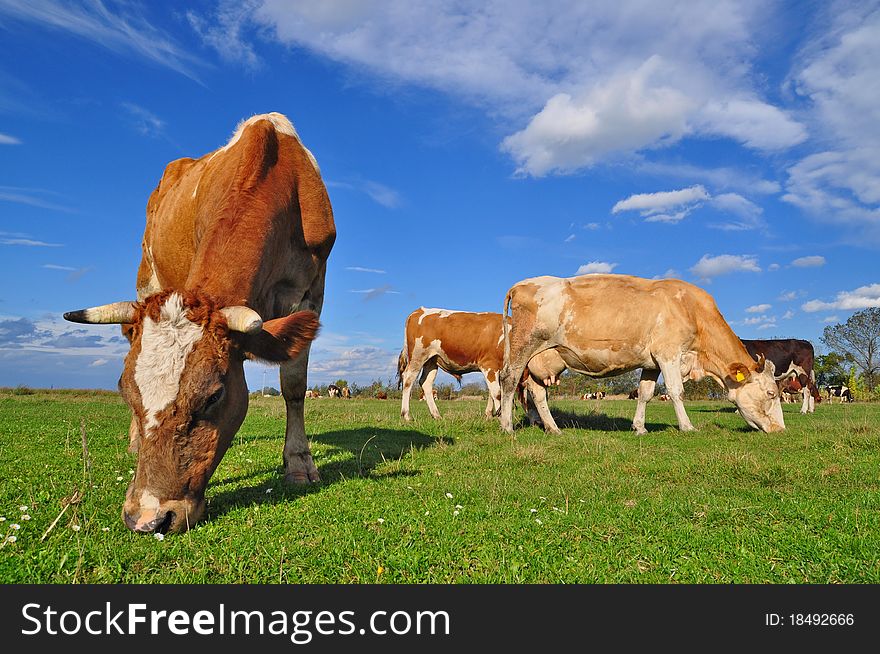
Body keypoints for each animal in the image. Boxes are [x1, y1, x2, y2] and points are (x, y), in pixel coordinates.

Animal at [62, 111, 336, 532]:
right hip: (147, 276)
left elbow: (293, 386)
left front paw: (299, 464)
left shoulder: (311, 292)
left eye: (213, 396)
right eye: (124, 389)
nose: (148, 517)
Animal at [398, 308, 564, 426]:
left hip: (432, 360)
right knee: (408, 380)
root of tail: (418, 311)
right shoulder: (489, 366)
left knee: (425, 383)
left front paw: (490, 415)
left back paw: (436, 415)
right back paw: (406, 415)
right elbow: (497, 394)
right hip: (418, 357)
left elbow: (492, 393)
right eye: (533, 396)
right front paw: (501, 417)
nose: (538, 422)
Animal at [498, 276, 788, 436]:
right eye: (771, 393)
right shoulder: (669, 353)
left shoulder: (652, 362)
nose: (781, 430)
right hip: (523, 347)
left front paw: (639, 427)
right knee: (508, 381)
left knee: (537, 392)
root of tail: (522, 284)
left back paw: (553, 428)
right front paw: (687, 426)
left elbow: (645, 393)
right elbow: (676, 391)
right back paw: (507, 425)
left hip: (542, 358)